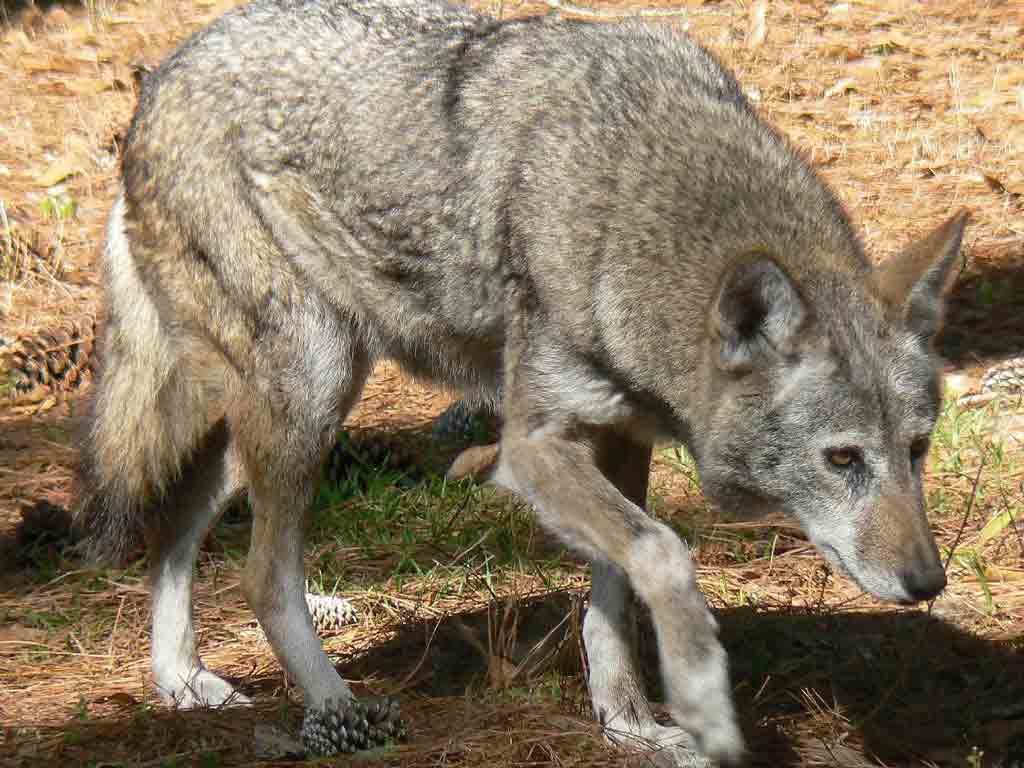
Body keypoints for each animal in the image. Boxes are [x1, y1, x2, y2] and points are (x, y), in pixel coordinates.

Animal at [75, 0, 962, 765]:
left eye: (918, 450)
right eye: (841, 459)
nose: (929, 583)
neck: (626, 200)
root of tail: (158, 82)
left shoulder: (620, 437)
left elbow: (615, 595)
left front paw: (629, 723)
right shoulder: (530, 448)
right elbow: (665, 551)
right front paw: (704, 702)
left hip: (285, 409)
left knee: (174, 523)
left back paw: (181, 681)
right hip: (310, 392)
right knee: (263, 575)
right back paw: (338, 714)